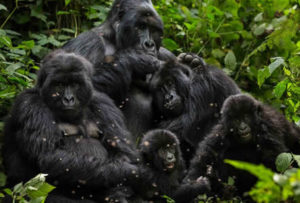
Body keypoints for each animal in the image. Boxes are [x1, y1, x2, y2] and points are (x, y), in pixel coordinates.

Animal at [2, 49, 139, 203]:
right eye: (59, 84)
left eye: (75, 84)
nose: (68, 99)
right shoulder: (30, 105)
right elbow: (49, 156)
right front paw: (129, 172)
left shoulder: (104, 104)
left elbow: (123, 151)